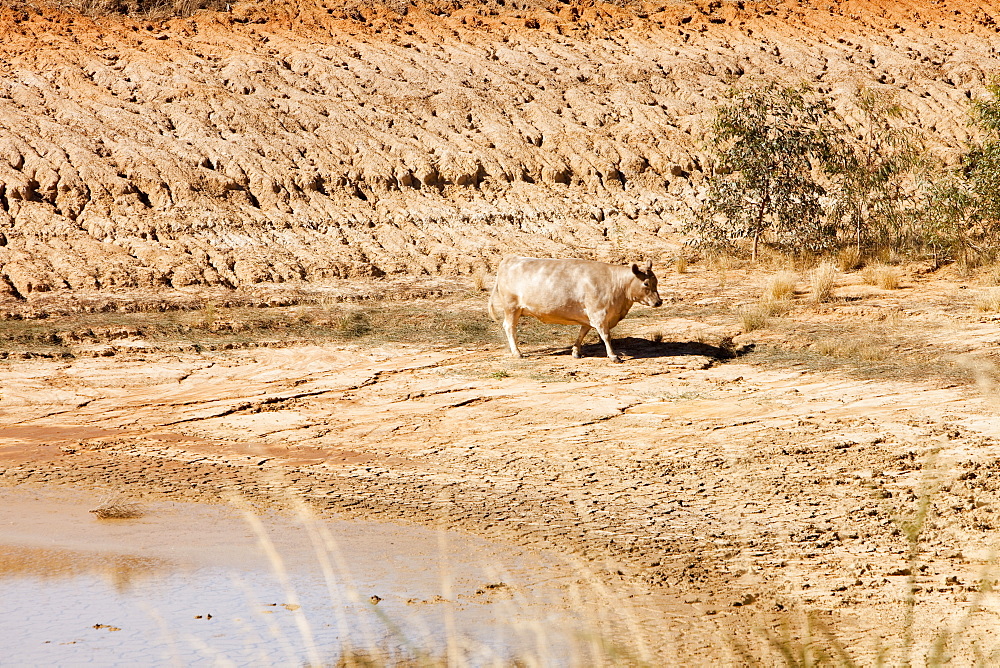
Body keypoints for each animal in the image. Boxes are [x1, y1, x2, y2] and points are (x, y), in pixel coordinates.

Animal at [486, 256, 664, 362]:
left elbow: (582, 332)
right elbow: (606, 336)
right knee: (510, 327)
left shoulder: (588, 315)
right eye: (646, 283)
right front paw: (613, 356)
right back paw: (517, 352)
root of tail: (510, 259)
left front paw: (576, 351)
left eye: (655, 281)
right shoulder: (599, 314)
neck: (616, 284)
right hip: (512, 308)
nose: (658, 302)